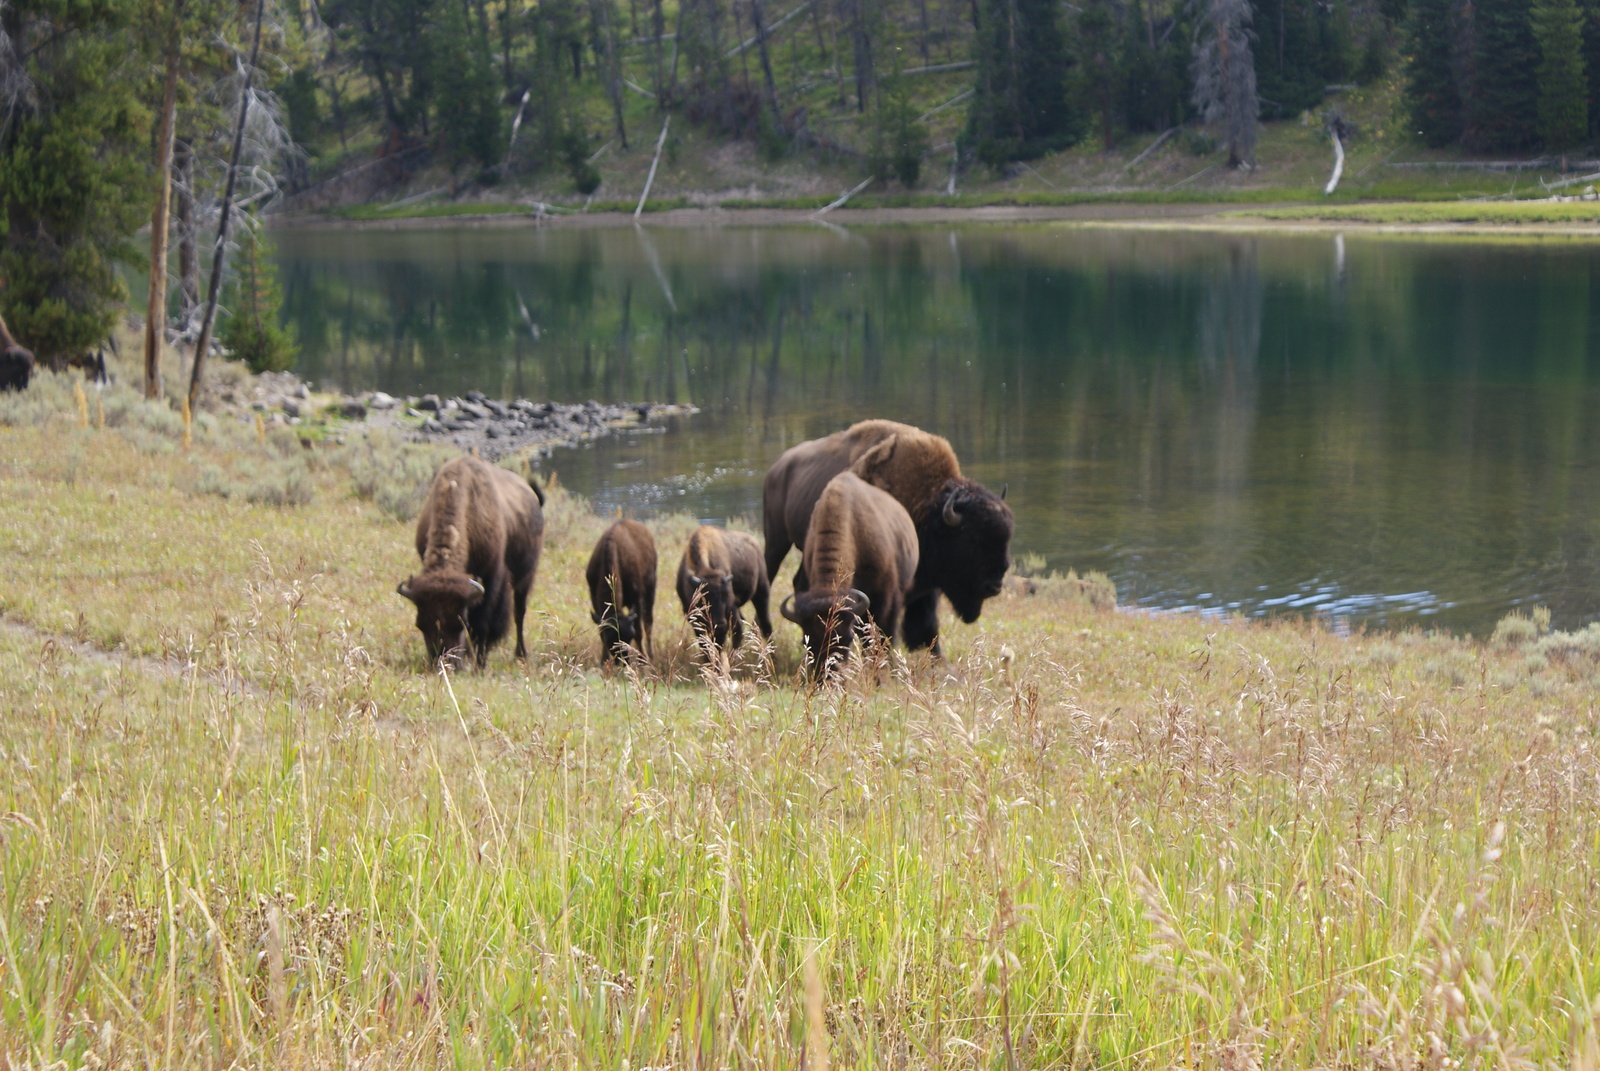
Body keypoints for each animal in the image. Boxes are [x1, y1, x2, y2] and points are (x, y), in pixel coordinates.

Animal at [396, 454, 547, 669]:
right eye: (420, 624)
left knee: (519, 613)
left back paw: (520, 654)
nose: (443, 662)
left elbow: (482, 623)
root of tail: (532, 496)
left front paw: (480, 664)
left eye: (459, 624)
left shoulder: (491, 579)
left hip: (525, 577)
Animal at [675, 518, 774, 653]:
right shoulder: (692, 616)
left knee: (764, 625)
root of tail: (755, 544)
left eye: (726, 596)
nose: (720, 625)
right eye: (704, 598)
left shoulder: (730, 608)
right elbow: (704, 643)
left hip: (761, 593)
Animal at [761, 416, 1011, 653]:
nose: (995, 586)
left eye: (1005, 539)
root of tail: (777, 467)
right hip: (776, 542)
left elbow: (926, 624)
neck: (929, 507)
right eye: (972, 539)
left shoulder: (924, 586)